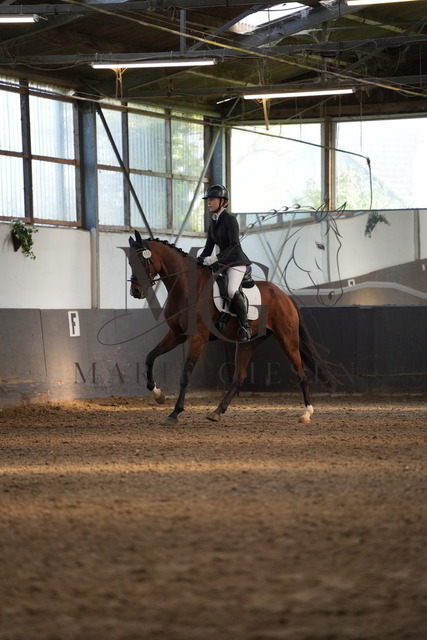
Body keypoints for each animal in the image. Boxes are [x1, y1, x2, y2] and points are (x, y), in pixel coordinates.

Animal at [128, 230, 336, 424]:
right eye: (130, 261)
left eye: (141, 260)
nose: (135, 291)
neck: (186, 288)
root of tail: (285, 296)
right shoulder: (177, 334)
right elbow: (150, 357)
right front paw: (158, 395)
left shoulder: (197, 338)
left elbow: (185, 375)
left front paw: (175, 413)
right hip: (248, 343)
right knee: (239, 377)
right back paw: (216, 412)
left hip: (287, 339)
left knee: (301, 372)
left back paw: (307, 413)